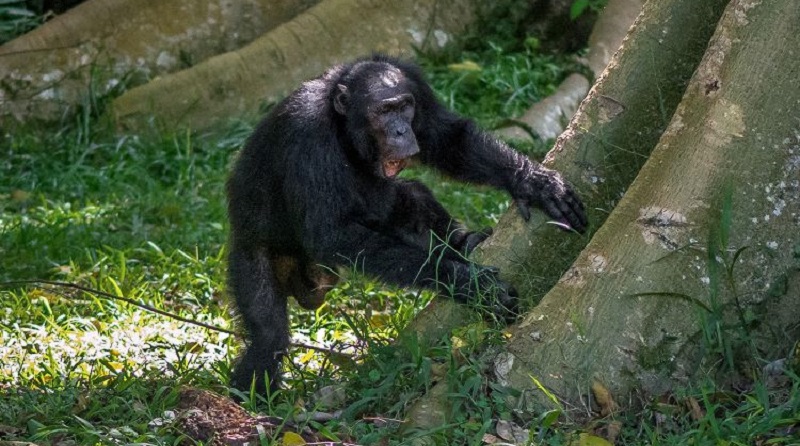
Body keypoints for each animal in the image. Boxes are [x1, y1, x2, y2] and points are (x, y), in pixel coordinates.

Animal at [227, 54, 588, 392]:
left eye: (404, 107)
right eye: (385, 111)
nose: (401, 130)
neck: (342, 126)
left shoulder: (418, 87)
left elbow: (447, 137)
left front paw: (533, 181)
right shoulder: (306, 136)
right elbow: (333, 233)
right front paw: (465, 283)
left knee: (412, 196)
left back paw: (464, 242)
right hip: (251, 253)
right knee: (268, 339)